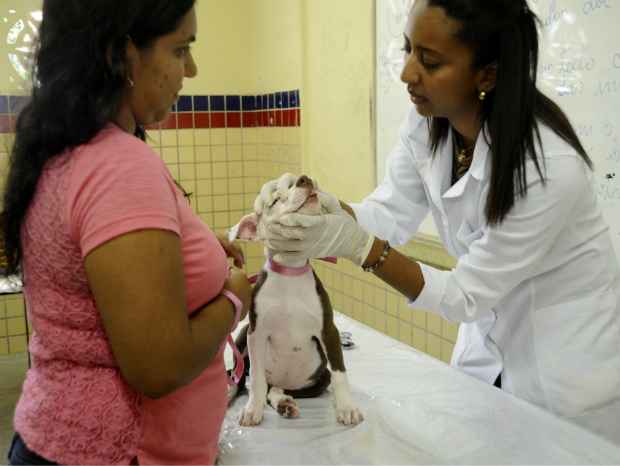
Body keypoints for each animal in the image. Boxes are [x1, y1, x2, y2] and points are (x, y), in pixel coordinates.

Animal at [228, 174, 364, 426]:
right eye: (274, 201)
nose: (304, 178)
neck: (290, 271)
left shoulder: (329, 330)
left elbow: (340, 373)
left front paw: (347, 407)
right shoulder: (255, 333)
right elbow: (257, 380)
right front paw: (252, 409)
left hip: (319, 378)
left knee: (277, 389)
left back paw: (284, 402)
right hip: (242, 337)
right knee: (243, 378)